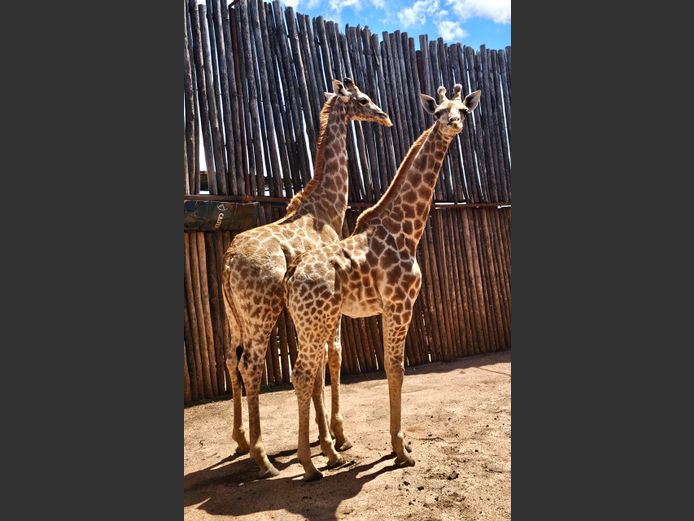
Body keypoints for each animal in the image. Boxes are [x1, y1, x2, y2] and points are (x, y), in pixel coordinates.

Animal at [222, 78, 392, 478]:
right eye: (364, 99)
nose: (385, 116)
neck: (325, 211)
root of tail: (229, 260)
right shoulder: (330, 306)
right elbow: (333, 359)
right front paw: (337, 438)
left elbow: (315, 370)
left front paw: (323, 439)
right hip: (261, 313)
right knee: (251, 365)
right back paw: (263, 458)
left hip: (234, 316)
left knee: (230, 361)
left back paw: (241, 441)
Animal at [285, 84, 482, 481]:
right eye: (437, 111)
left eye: (463, 111)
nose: (452, 124)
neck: (405, 229)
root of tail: (294, 271)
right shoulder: (400, 303)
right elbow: (396, 369)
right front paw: (401, 449)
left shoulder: (389, 308)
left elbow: (393, 369)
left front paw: (398, 445)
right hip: (315, 322)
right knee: (302, 374)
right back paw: (311, 466)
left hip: (309, 323)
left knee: (309, 374)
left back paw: (325, 454)